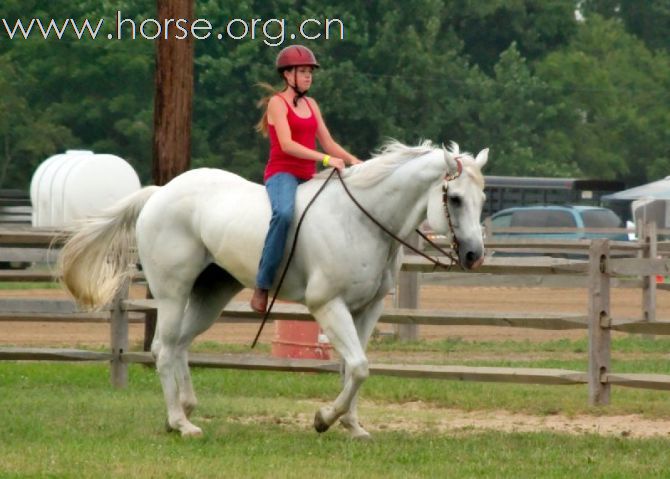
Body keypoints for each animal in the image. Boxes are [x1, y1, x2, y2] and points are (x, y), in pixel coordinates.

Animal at [59, 140, 488, 438]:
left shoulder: (367, 310)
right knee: (163, 350)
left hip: (210, 295)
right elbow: (359, 367)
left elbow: (354, 369)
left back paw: (183, 409)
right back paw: (182, 424)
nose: (473, 255)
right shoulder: (328, 304)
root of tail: (159, 192)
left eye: (482, 197)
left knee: (177, 345)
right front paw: (323, 419)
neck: (361, 220)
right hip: (172, 293)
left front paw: (352, 425)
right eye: (454, 198)